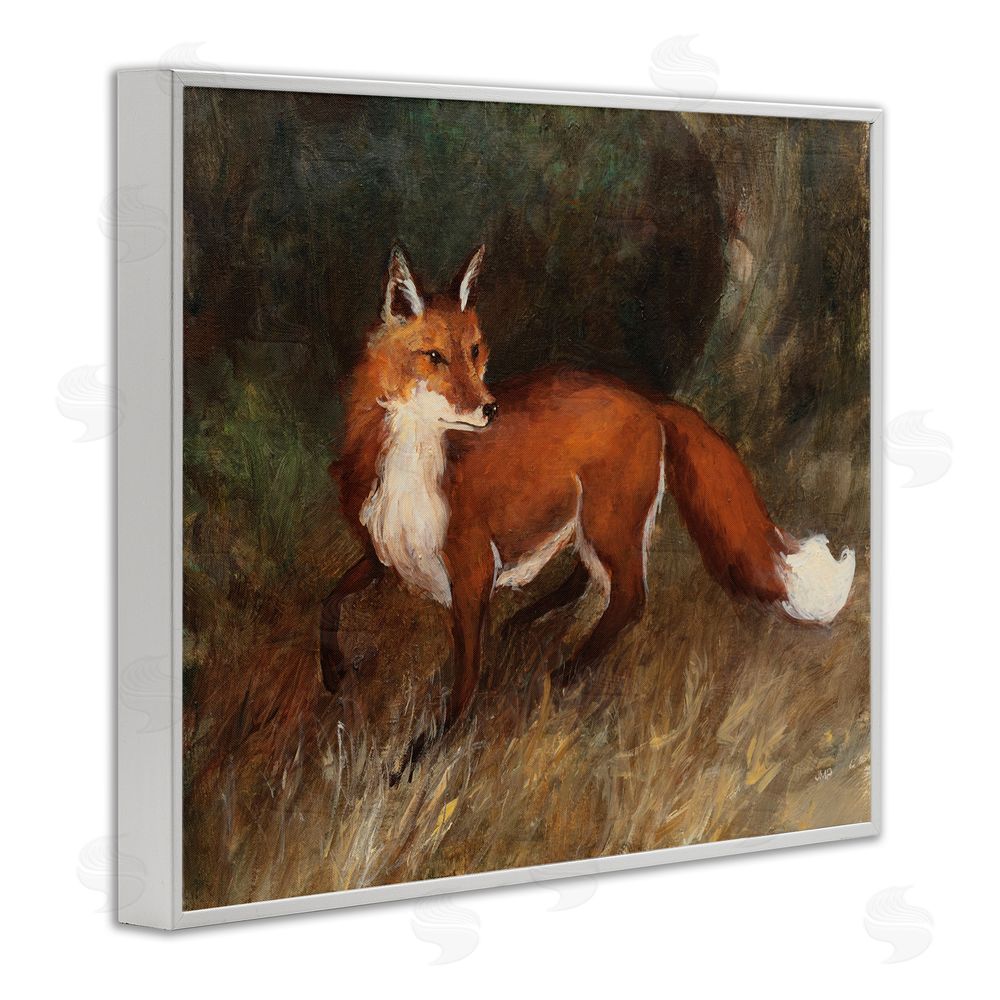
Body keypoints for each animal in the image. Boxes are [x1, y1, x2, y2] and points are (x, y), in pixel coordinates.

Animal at [321, 245, 856, 759]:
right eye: (433, 356)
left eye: (473, 351)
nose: (490, 409)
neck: (414, 466)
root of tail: (646, 398)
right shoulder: (383, 552)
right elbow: (331, 599)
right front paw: (332, 672)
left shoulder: (471, 570)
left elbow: (465, 678)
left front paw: (424, 753)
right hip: (590, 520)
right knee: (588, 580)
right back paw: (527, 623)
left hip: (607, 520)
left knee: (629, 597)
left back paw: (567, 674)